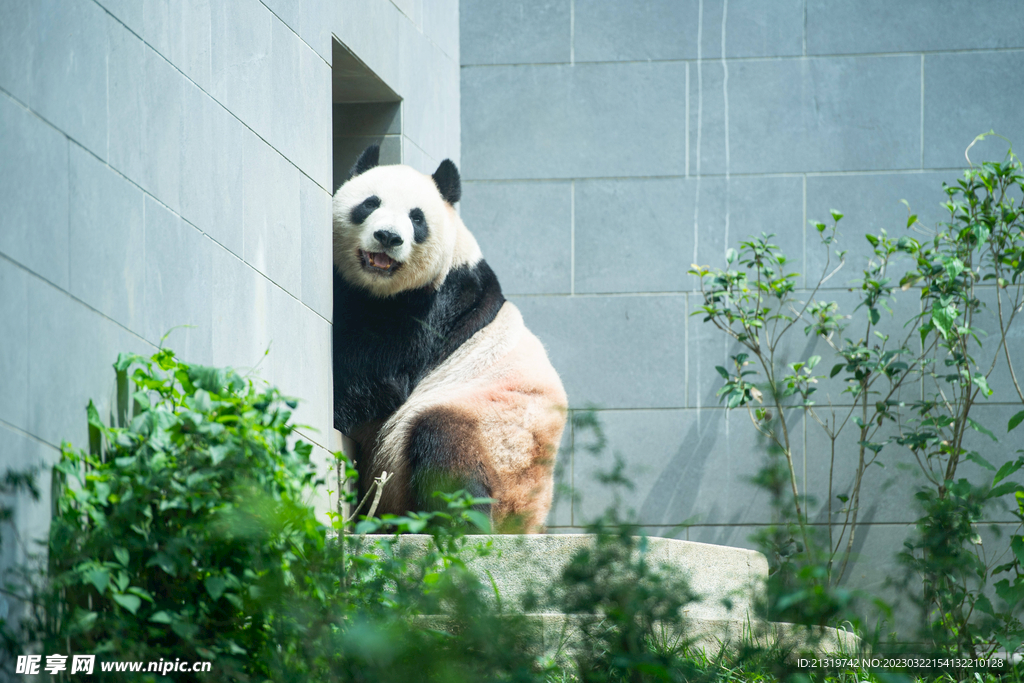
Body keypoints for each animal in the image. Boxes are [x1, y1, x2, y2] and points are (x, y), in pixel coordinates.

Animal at [331, 145, 569, 532]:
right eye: (370, 203)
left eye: (417, 219)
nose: (389, 237)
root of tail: (528, 521)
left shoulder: (433, 310)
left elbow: (375, 375)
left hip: (498, 432)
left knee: (445, 446)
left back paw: (460, 526)